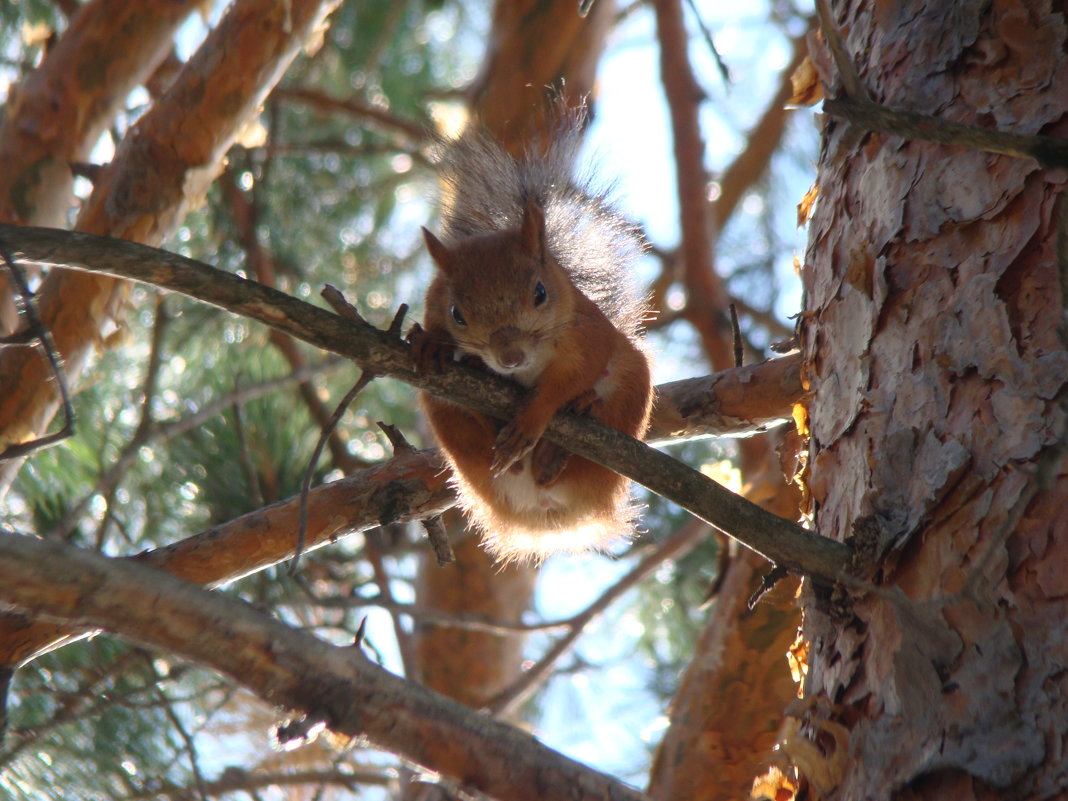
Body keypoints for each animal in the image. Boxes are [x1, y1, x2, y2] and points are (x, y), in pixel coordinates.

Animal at [407, 115, 649, 559]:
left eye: (540, 292)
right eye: (456, 314)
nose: (510, 357)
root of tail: (548, 512)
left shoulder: (587, 336)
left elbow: (570, 378)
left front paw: (536, 415)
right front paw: (431, 340)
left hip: (631, 388)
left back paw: (562, 442)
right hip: (445, 416)